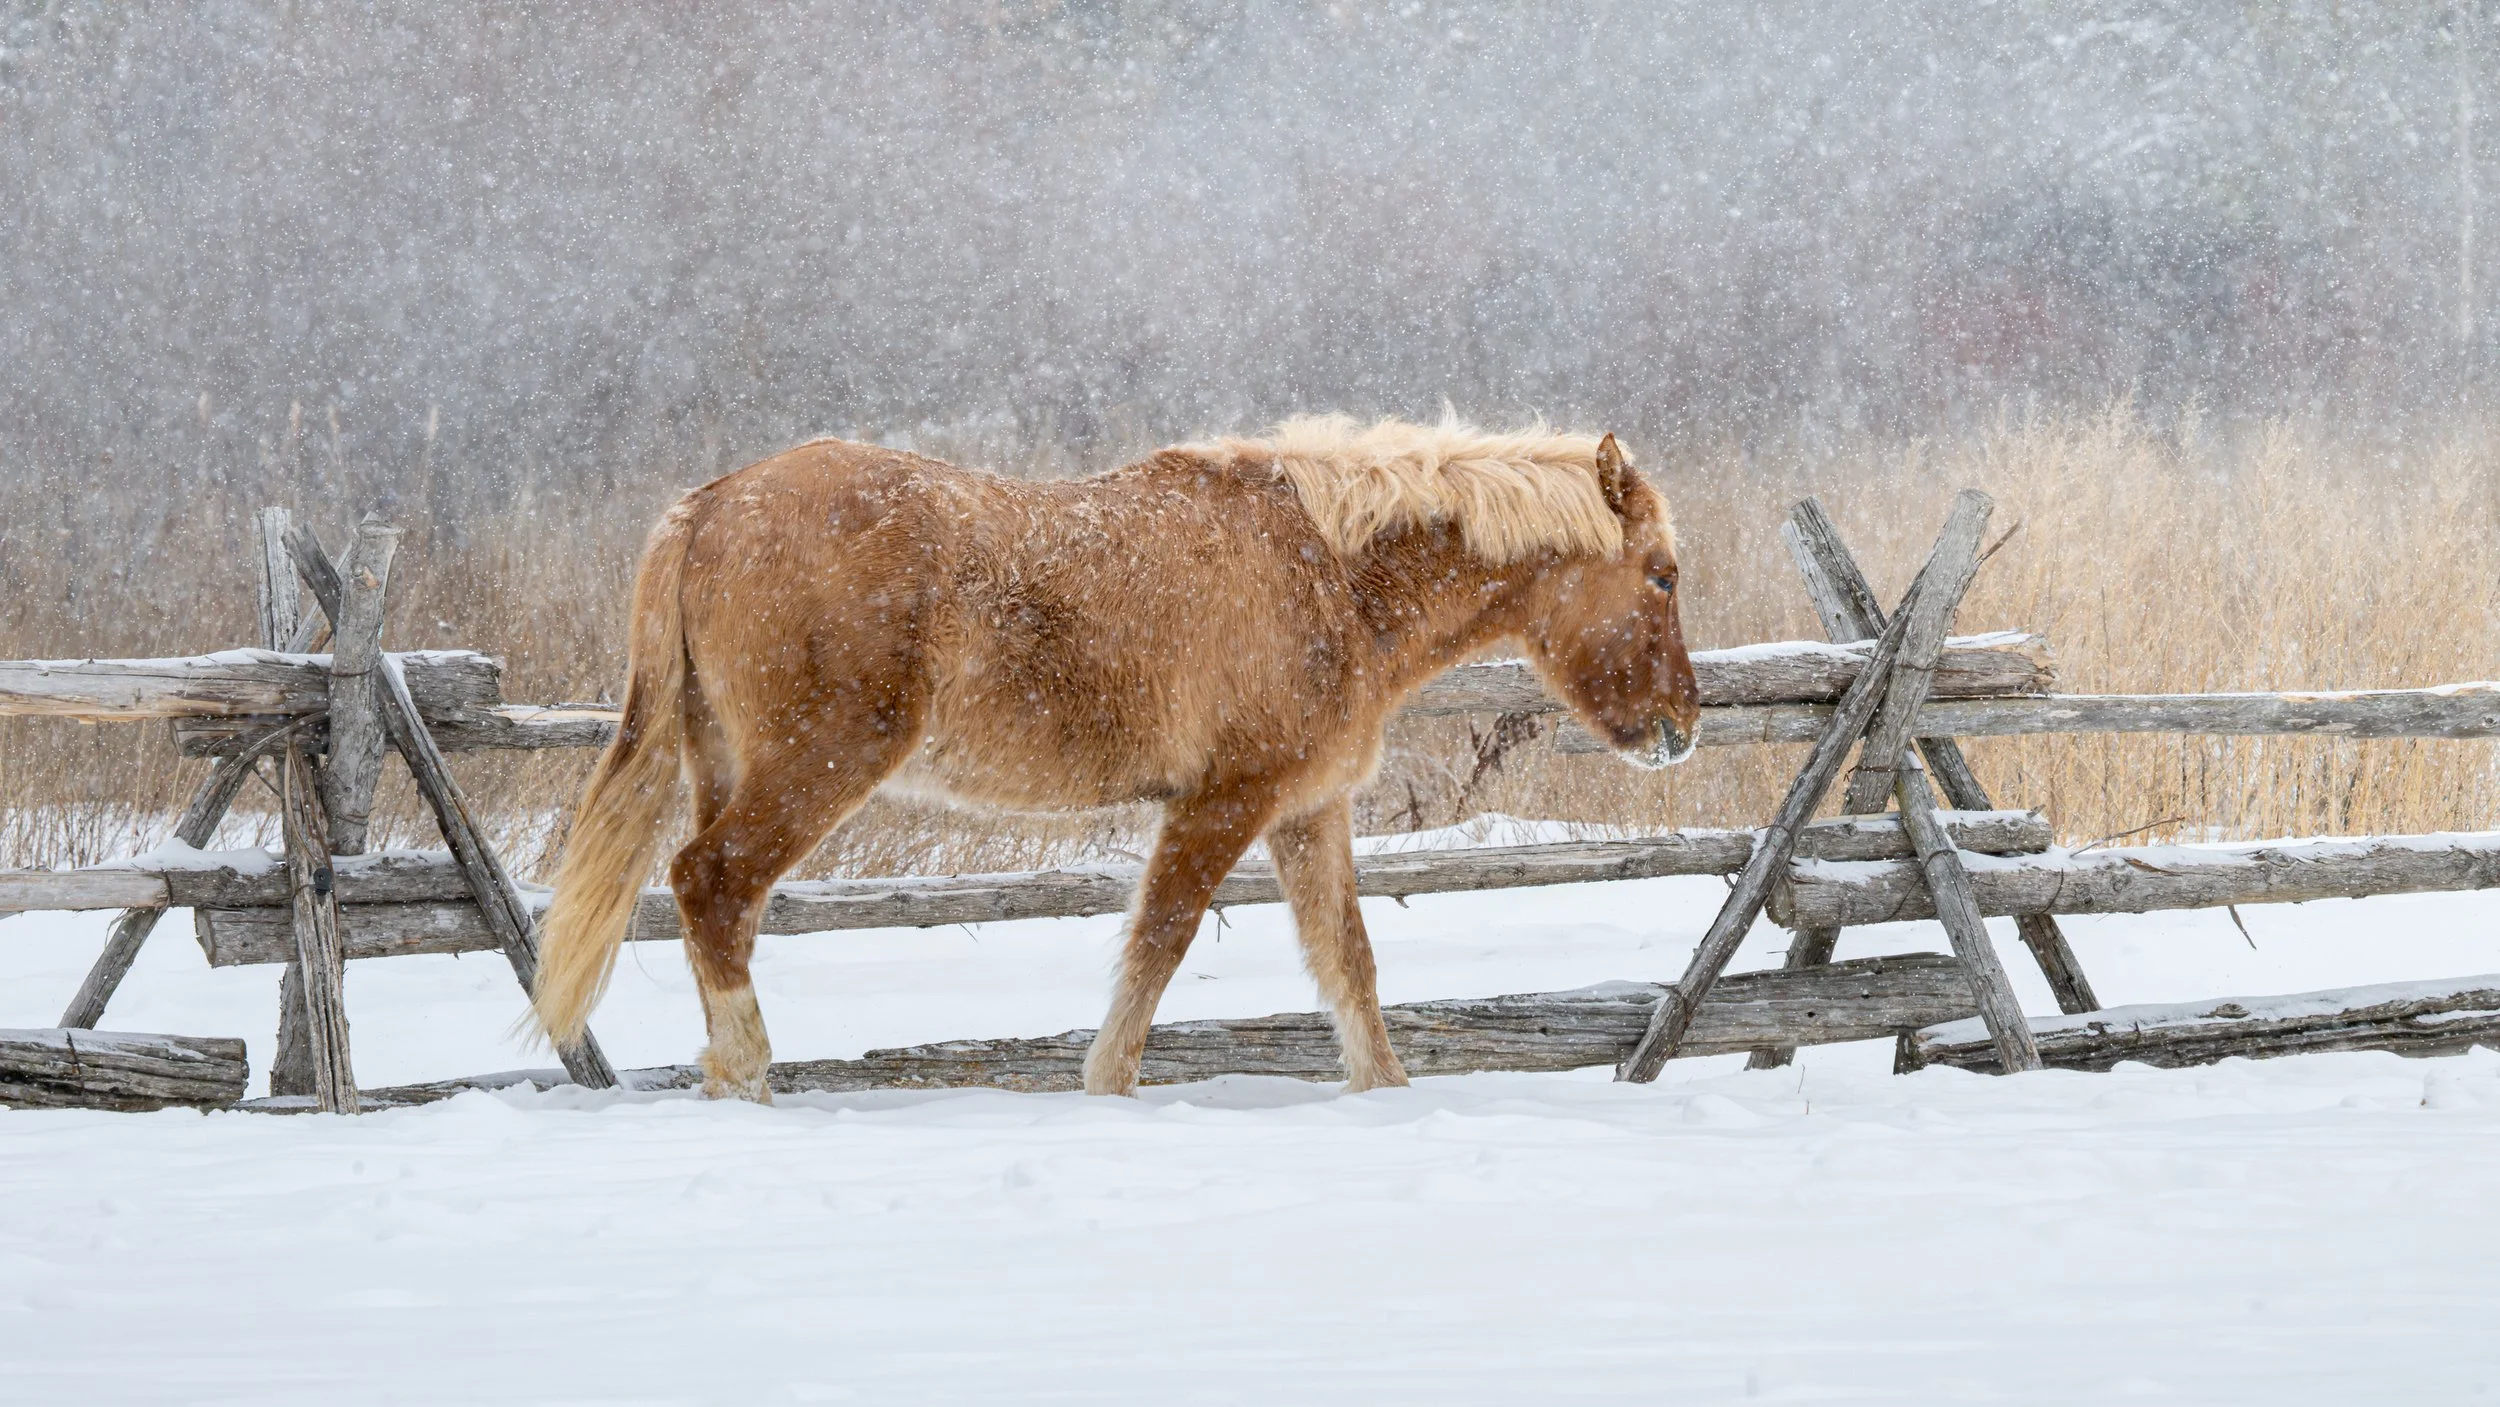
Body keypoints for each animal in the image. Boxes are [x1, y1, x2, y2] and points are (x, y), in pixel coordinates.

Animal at [530, 415, 1701, 1101]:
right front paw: (1108, 1091)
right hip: (812, 769)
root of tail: (709, 505)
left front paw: (1386, 1098)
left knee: (714, 904)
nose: (1681, 727)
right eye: (1662, 576)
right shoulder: (1223, 803)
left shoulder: (1305, 812)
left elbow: (1348, 967)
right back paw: (752, 1078)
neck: (1327, 571)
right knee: (713, 887)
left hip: (729, 766)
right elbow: (1158, 948)